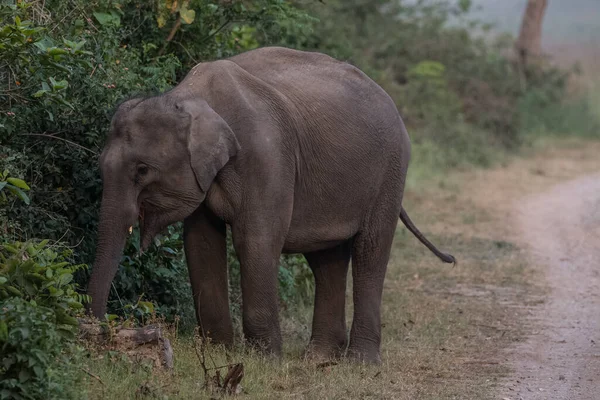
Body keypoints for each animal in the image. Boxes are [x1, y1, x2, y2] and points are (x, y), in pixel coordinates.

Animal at [86, 45, 454, 364]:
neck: (188, 96)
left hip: (390, 171)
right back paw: (318, 358)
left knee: (371, 251)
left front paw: (264, 360)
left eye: (142, 170)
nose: (99, 331)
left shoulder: (266, 156)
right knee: (327, 260)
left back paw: (359, 363)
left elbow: (255, 241)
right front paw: (220, 353)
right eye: (100, 165)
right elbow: (201, 245)